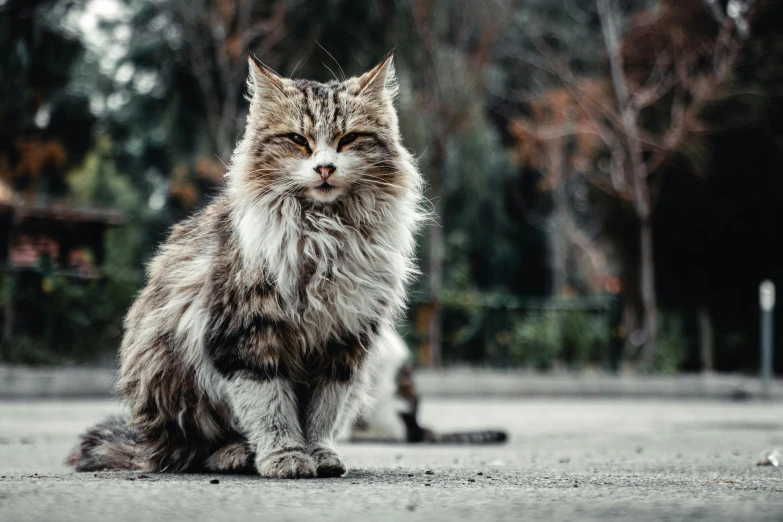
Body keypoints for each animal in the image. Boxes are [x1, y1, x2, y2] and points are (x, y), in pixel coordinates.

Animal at [66, 50, 422, 478]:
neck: (324, 234)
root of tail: (145, 443)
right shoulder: (246, 334)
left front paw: (319, 455)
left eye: (348, 139)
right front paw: (285, 457)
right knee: (191, 451)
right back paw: (235, 454)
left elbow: (322, 414)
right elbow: (271, 410)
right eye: (299, 141)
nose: (325, 168)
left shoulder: (341, 344)